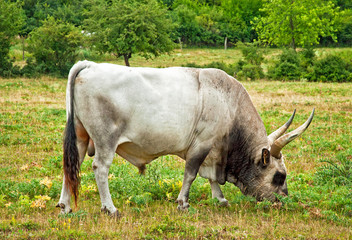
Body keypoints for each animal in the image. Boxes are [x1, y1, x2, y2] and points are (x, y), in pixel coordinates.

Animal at [56, 60, 314, 216]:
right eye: (279, 176)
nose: (282, 201)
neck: (229, 104)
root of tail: (90, 65)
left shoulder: (214, 151)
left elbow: (211, 179)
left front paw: (220, 199)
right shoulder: (202, 144)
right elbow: (191, 174)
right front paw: (183, 202)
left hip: (80, 138)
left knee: (72, 166)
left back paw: (65, 206)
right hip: (105, 140)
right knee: (100, 169)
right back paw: (110, 208)